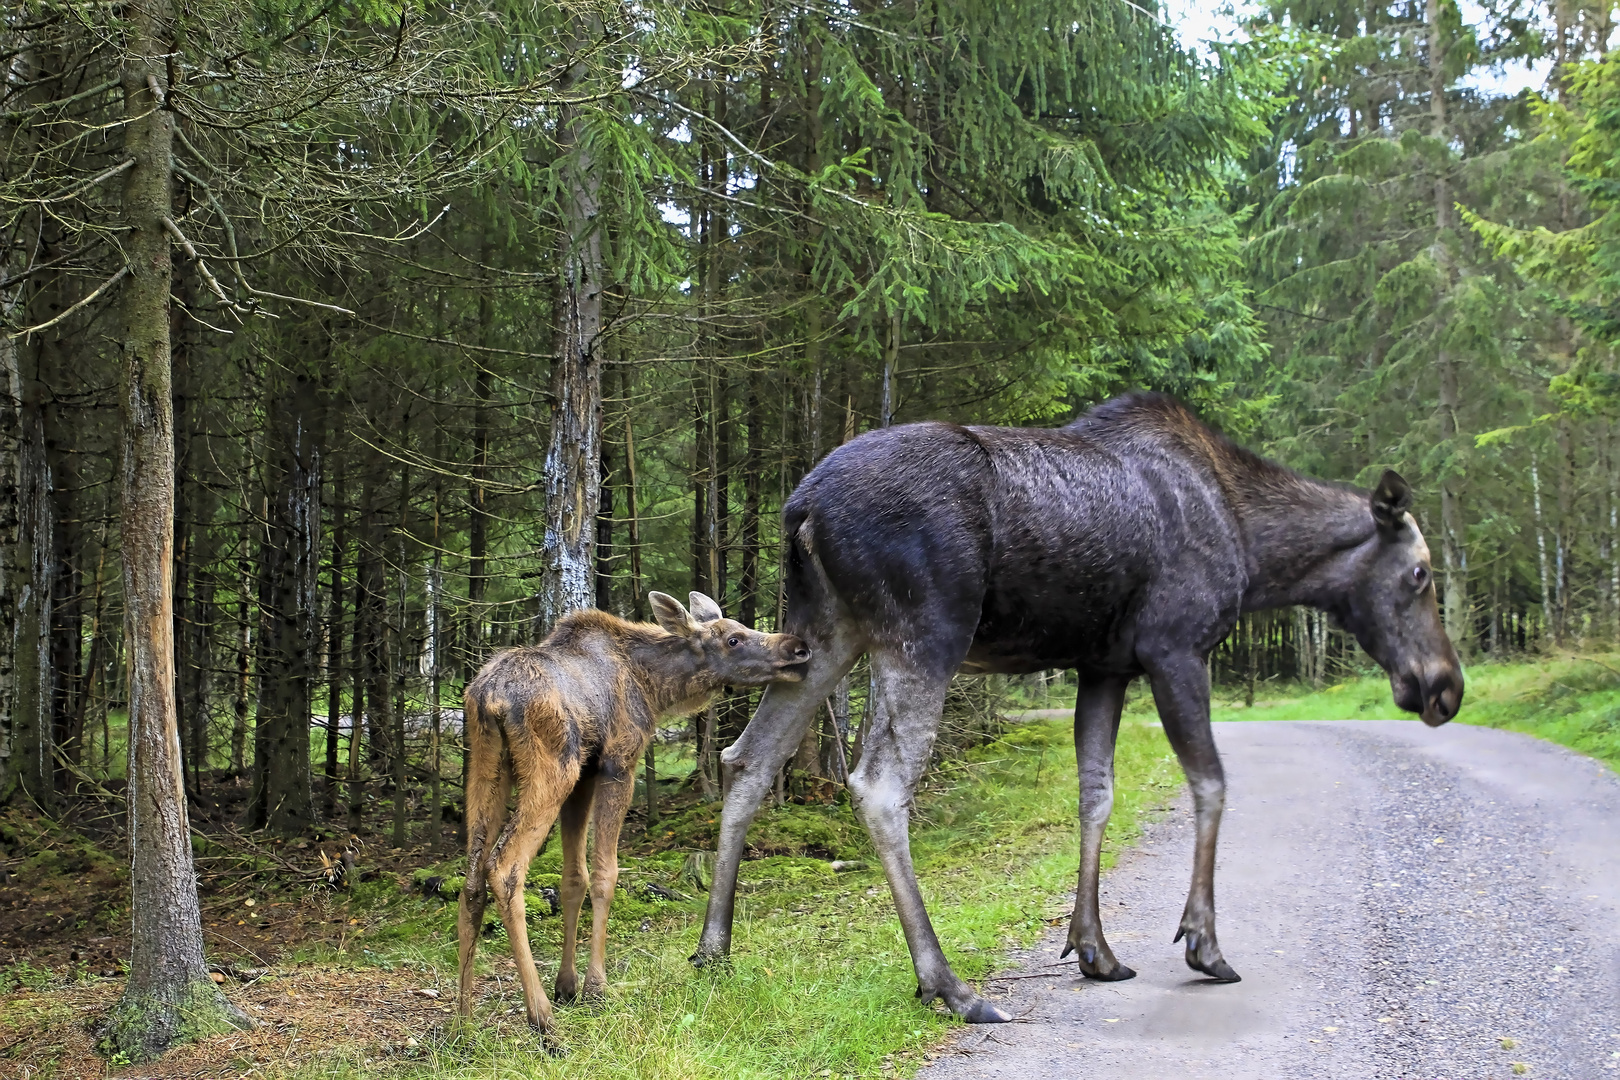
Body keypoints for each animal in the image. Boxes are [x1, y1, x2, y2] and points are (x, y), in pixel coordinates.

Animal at [456, 595, 810, 1036]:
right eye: (733, 638)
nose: (798, 647)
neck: (655, 688)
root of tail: (491, 698)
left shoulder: (585, 775)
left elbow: (574, 878)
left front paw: (568, 985)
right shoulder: (618, 762)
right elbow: (605, 875)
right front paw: (595, 987)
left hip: (486, 763)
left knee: (471, 879)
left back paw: (463, 1022)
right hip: (552, 767)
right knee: (503, 867)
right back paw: (542, 1019)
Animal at [690, 395, 1464, 1023]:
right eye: (1420, 574)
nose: (1445, 688)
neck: (1255, 553)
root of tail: (802, 507)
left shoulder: (1105, 665)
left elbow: (1096, 792)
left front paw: (1094, 948)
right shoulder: (1175, 647)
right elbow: (1210, 783)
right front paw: (1203, 942)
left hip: (823, 631)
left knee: (747, 757)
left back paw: (713, 948)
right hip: (924, 632)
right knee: (877, 784)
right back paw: (949, 985)